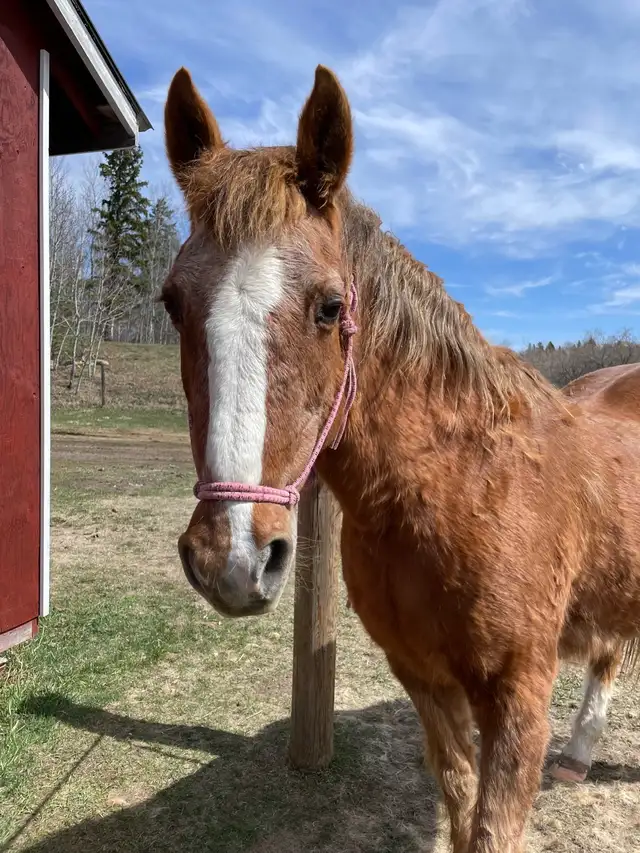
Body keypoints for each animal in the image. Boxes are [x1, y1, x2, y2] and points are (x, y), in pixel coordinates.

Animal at [160, 64, 640, 853]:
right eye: (172, 302)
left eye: (330, 307)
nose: (230, 558)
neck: (455, 486)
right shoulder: (424, 678)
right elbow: (459, 798)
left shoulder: (519, 696)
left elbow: (492, 825)